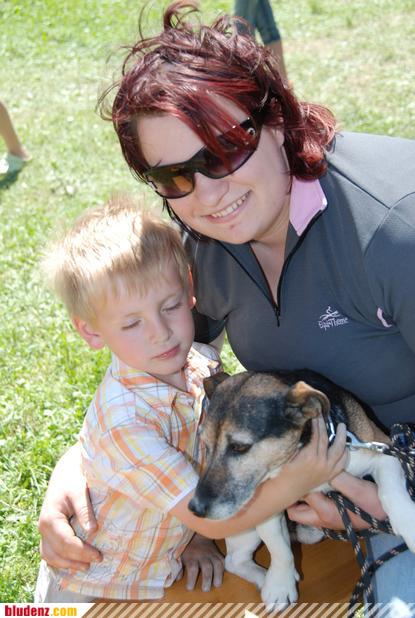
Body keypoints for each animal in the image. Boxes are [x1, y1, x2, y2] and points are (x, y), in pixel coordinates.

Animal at [188, 369, 415, 608]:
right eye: (204, 444)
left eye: (239, 447)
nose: (195, 509)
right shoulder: (267, 502)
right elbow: (279, 548)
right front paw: (279, 584)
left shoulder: (382, 452)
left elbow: (390, 490)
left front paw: (408, 524)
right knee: (233, 561)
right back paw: (265, 577)